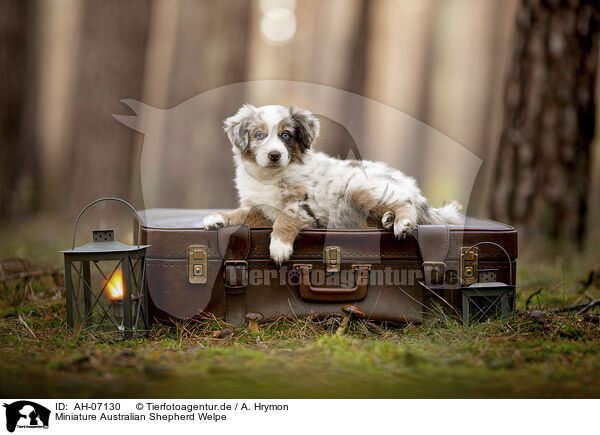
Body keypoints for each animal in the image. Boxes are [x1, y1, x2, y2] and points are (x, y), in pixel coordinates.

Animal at [204, 104, 462, 264]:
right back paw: (388, 220)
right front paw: (217, 218)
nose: (275, 155)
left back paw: (402, 223)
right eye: (259, 135)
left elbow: (286, 216)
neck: (270, 177)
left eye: (286, 135)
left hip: (359, 186)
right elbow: (240, 214)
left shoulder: (306, 209)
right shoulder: (260, 210)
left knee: (405, 202)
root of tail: (408, 183)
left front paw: (278, 246)